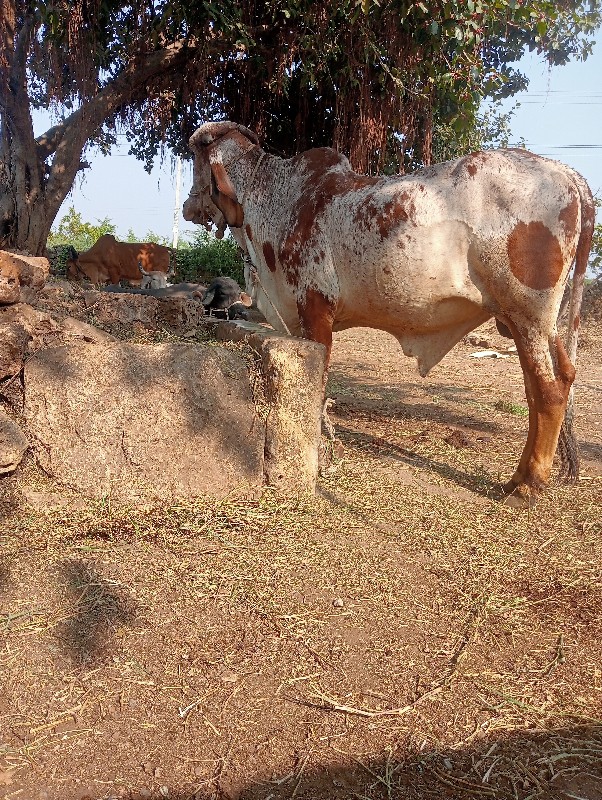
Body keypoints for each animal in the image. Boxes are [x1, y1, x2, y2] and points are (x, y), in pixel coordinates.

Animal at [180, 119, 592, 506]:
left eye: (196, 158)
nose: (186, 205)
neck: (277, 198)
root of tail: (567, 174)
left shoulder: (315, 310)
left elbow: (318, 387)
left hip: (529, 316)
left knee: (548, 393)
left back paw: (528, 485)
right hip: (534, 325)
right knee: (554, 382)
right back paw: (520, 475)